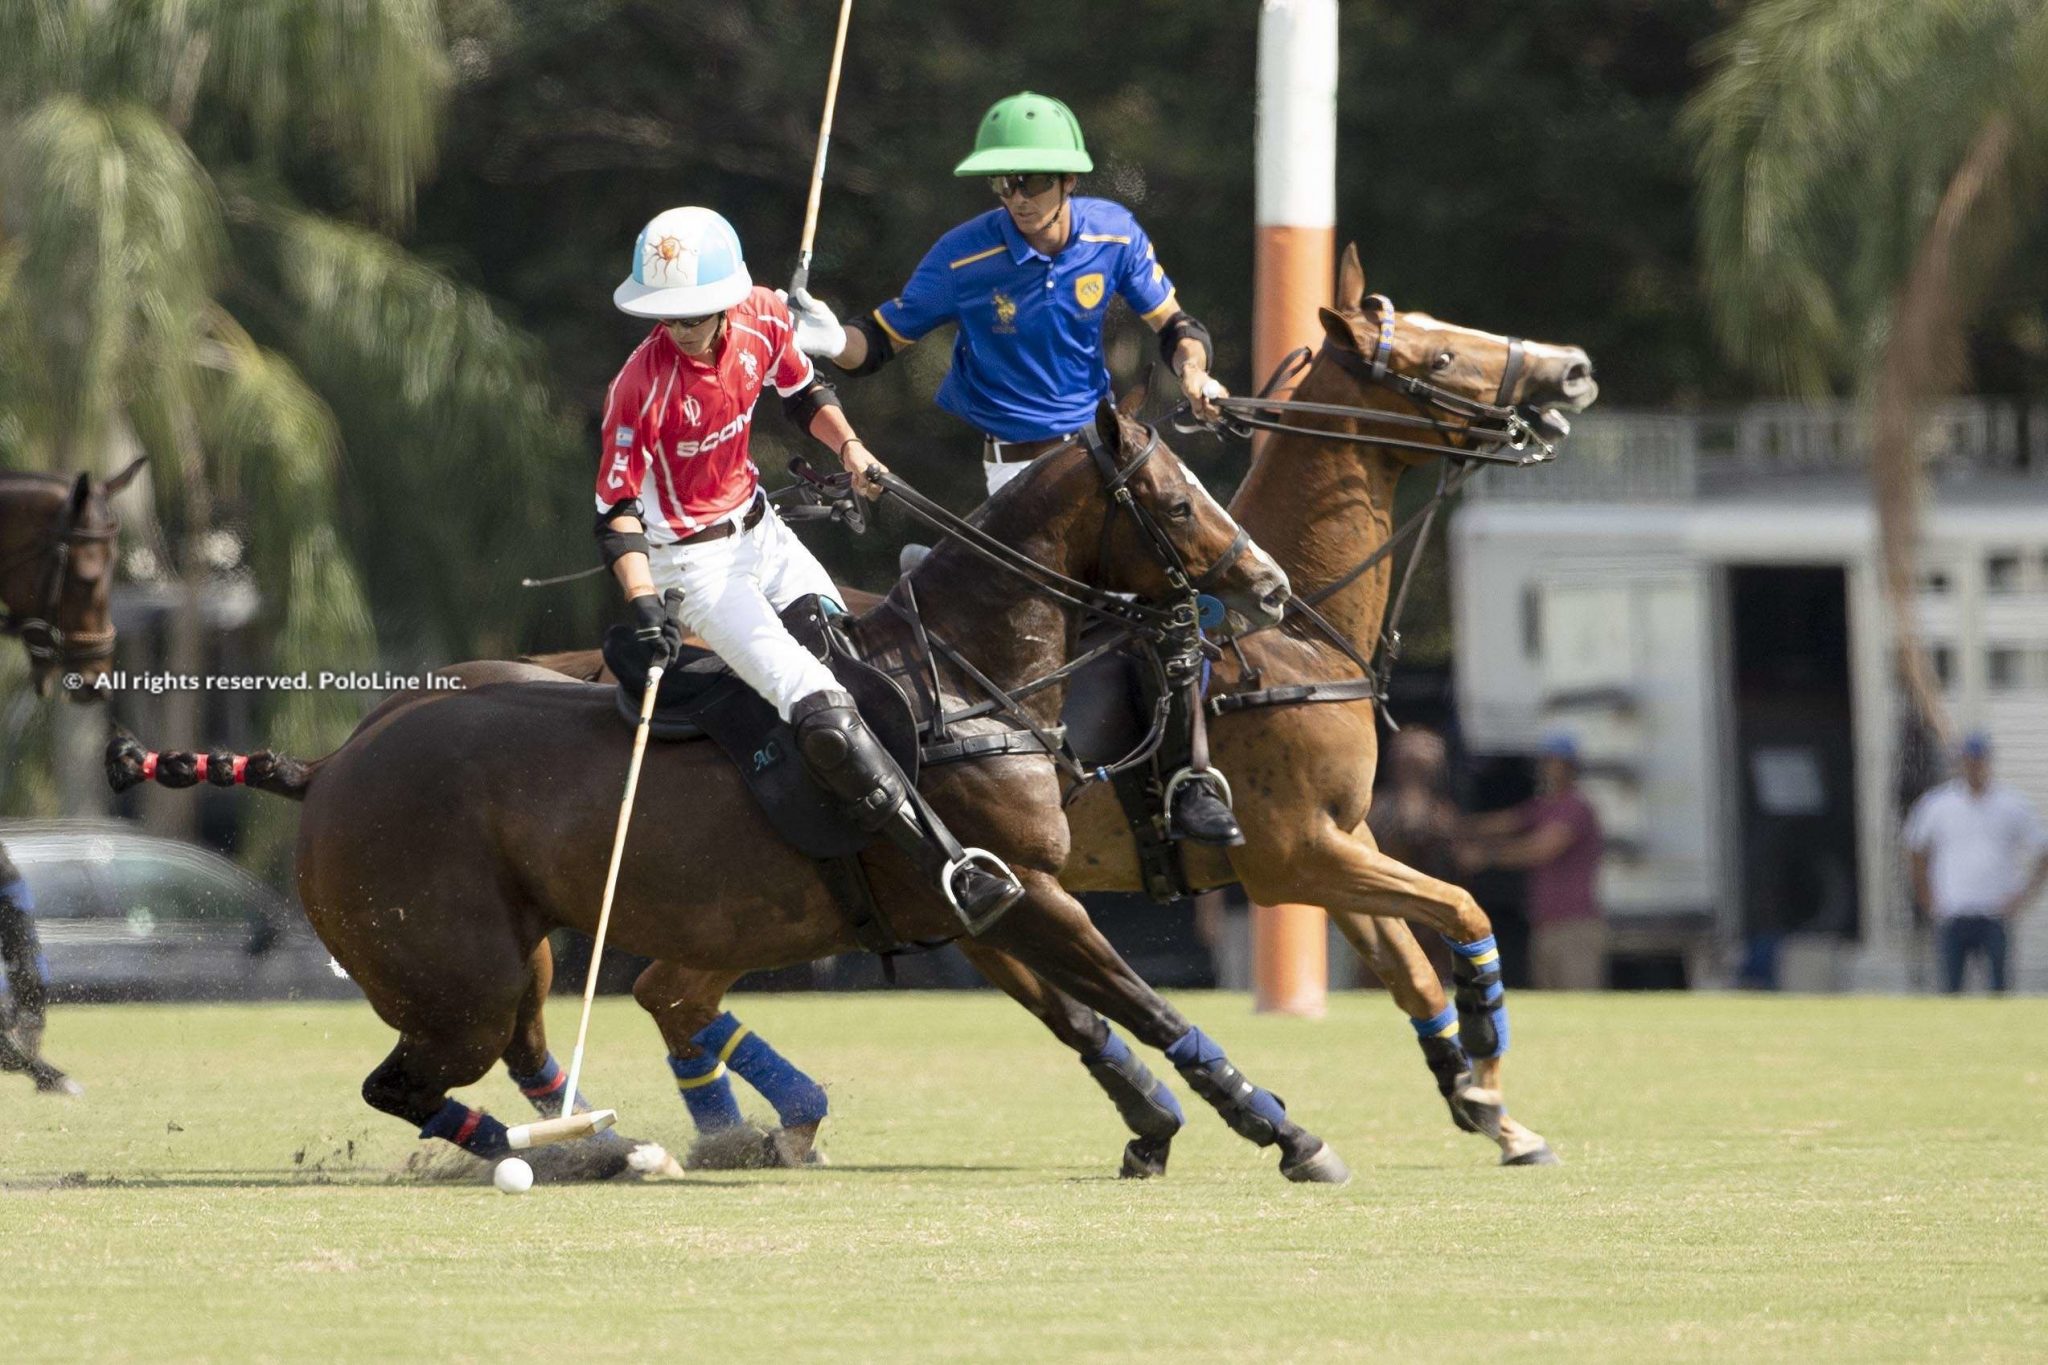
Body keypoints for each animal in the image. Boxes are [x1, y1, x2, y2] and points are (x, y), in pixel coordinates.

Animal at [116, 409, 1359, 1186]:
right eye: (1173, 502)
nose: (1269, 587)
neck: (968, 676)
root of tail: (324, 768)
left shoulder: (989, 905)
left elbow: (1091, 1016)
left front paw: (1165, 1130)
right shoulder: (1014, 890)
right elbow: (1138, 1005)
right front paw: (1284, 1132)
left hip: (512, 956)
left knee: (535, 1048)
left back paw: (614, 1148)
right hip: (455, 975)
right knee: (403, 1082)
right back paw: (593, 1150)